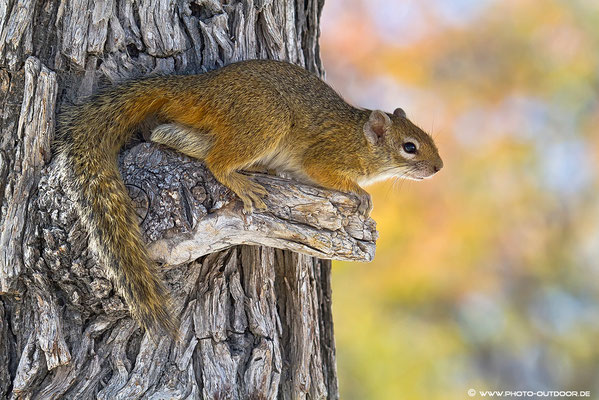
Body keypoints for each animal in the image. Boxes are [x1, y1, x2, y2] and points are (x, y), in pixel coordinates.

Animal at [55, 59, 440, 338]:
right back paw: (242, 181)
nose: (438, 167)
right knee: (217, 160)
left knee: (172, 137)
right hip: (265, 120)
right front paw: (361, 194)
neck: (360, 141)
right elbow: (328, 173)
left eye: (428, 139)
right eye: (409, 147)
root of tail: (199, 89)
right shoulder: (325, 156)